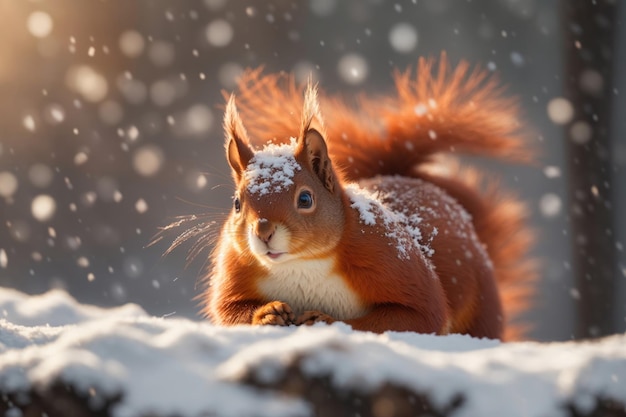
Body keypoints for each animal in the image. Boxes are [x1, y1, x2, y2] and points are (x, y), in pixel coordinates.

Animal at [194, 53, 532, 340]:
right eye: (237, 204)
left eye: (305, 199)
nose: (263, 231)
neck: (301, 265)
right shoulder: (235, 266)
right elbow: (227, 311)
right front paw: (266, 314)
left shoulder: (387, 257)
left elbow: (420, 315)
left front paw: (326, 321)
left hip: (482, 307)